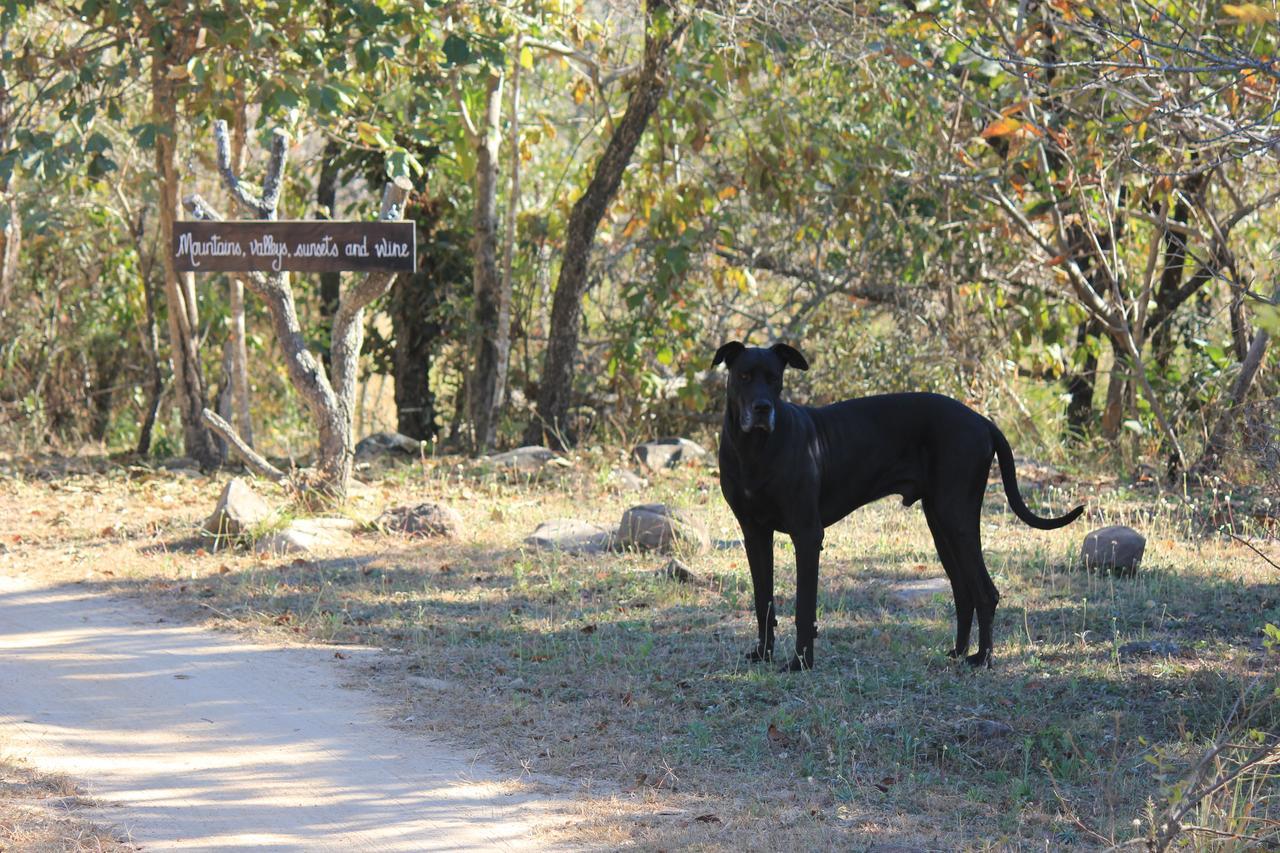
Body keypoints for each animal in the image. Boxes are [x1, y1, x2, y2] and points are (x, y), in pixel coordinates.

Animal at [716, 340, 1085, 671]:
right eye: (745, 376)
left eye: (774, 378)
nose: (763, 408)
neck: (756, 448)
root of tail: (982, 421)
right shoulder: (754, 534)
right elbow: (762, 600)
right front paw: (763, 654)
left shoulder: (807, 534)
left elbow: (804, 608)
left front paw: (800, 663)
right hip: (940, 523)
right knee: (963, 591)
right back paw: (958, 652)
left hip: (957, 518)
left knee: (985, 592)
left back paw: (983, 658)